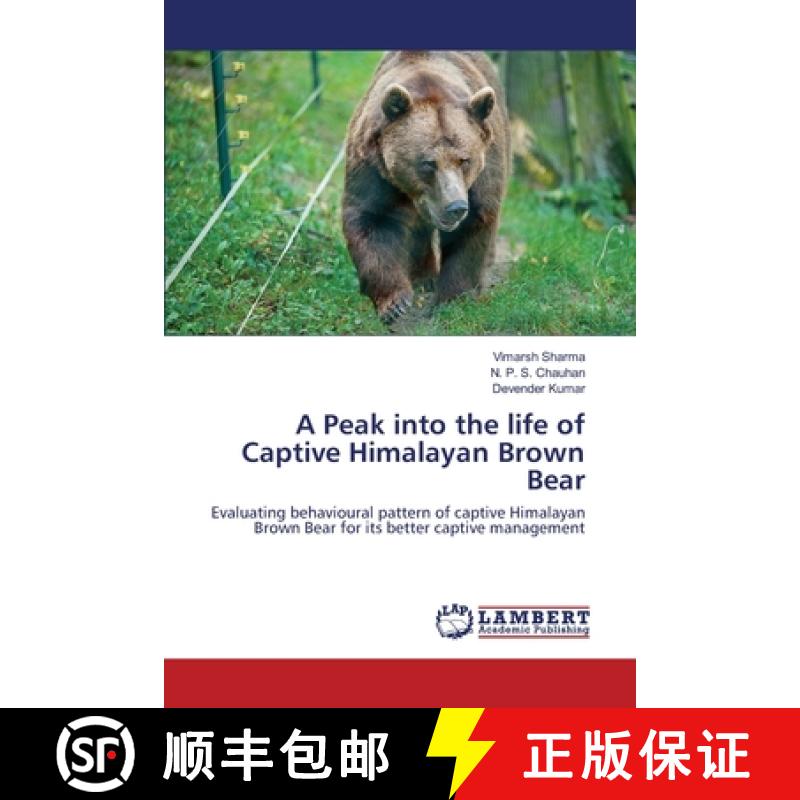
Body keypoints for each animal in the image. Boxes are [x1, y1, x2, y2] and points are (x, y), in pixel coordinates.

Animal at [342, 51, 510, 323]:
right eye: (428, 163)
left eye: (465, 160)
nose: (455, 206)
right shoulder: (373, 168)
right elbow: (372, 220)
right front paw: (395, 303)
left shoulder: (483, 172)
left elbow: (474, 223)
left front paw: (452, 299)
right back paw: (424, 277)